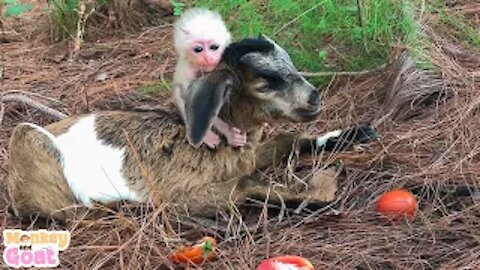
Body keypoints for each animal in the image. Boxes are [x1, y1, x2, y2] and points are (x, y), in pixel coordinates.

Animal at [5, 35, 376, 221]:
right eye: (264, 83)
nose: (314, 98)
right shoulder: (181, 194)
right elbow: (244, 185)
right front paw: (319, 198)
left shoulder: (249, 155)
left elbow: (287, 140)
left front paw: (355, 133)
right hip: (26, 138)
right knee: (67, 212)